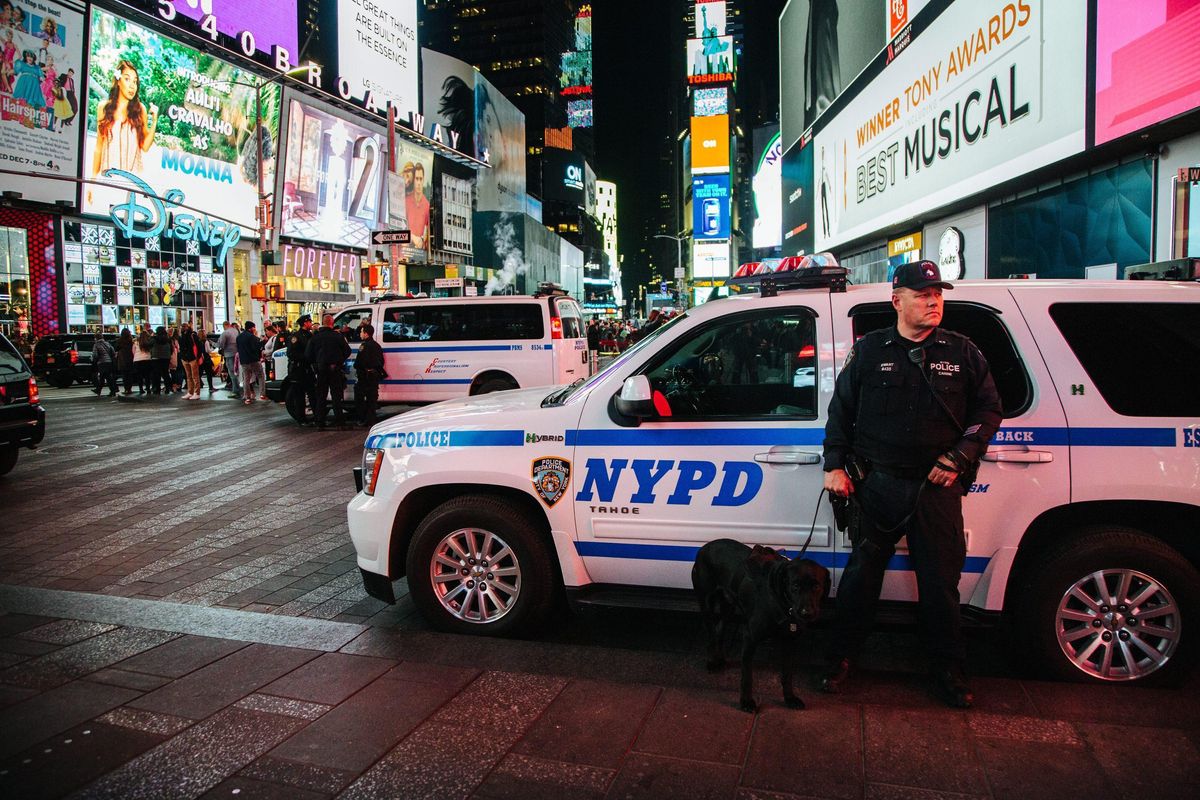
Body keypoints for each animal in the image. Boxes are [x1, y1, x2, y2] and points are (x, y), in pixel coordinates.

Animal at [691, 537, 830, 714]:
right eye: (795, 586)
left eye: (817, 586)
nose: (807, 613)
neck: (781, 601)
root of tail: (704, 547)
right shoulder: (749, 638)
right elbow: (747, 676)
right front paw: (746, 702)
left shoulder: (789, 641)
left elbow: (787, 674)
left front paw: (789, 698)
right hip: (706, 603)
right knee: (711, 635)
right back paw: (712, 661)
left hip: (728, 606)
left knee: (719, 631)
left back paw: (720, 659)